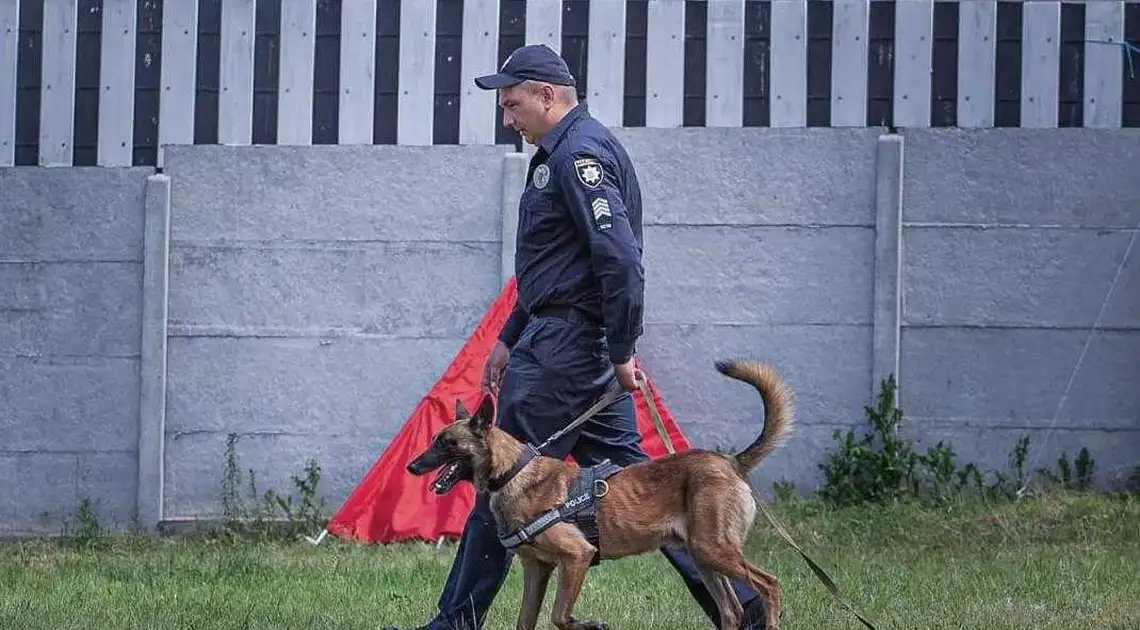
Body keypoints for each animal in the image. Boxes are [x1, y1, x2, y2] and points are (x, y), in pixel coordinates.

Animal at [408, 357, 793, 628]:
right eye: (434, 439)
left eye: (445, 442)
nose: (411, 467)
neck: (513, 473)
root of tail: (729, 461)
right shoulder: (537, 570)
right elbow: (527, 620)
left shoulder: (577, 556)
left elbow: (559, 615)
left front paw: (589, 624)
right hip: (704, 556)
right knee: (731, 611)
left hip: (714, 550)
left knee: (769, 584)